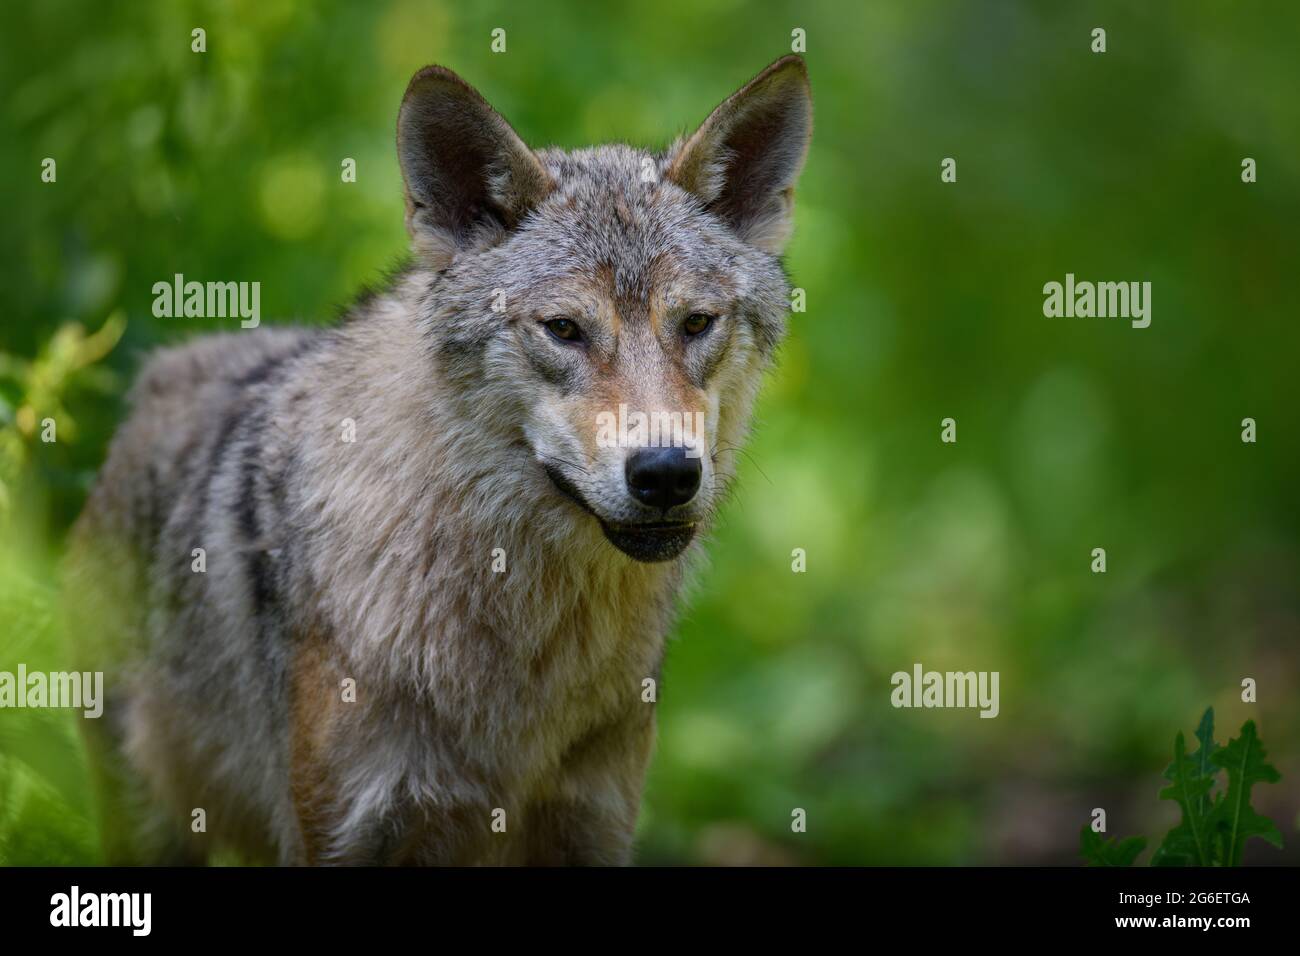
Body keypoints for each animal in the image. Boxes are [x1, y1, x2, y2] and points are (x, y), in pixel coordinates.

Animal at [65, 55, 811, 865]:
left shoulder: (592, 826)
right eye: (563, 329)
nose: (667, 472)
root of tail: (163, 371)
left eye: (696, 323)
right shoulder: (346, 833)